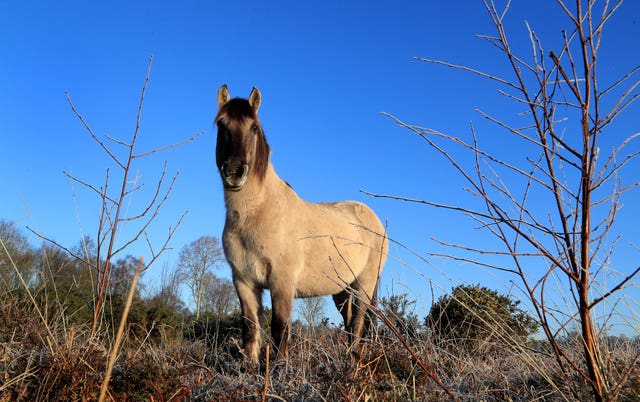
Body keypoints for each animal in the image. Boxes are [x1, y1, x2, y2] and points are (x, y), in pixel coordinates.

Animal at [212, 84, 388, 362]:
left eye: (254, 127)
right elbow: (250, 328)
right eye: (221, 124)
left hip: (364, 285)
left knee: (359, 323)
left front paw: (279, 368)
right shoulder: (243, 282)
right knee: (350, 323)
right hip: (342, 289)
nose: (233, 173)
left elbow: (280, 329)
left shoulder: (282, 282)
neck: (260, 214)